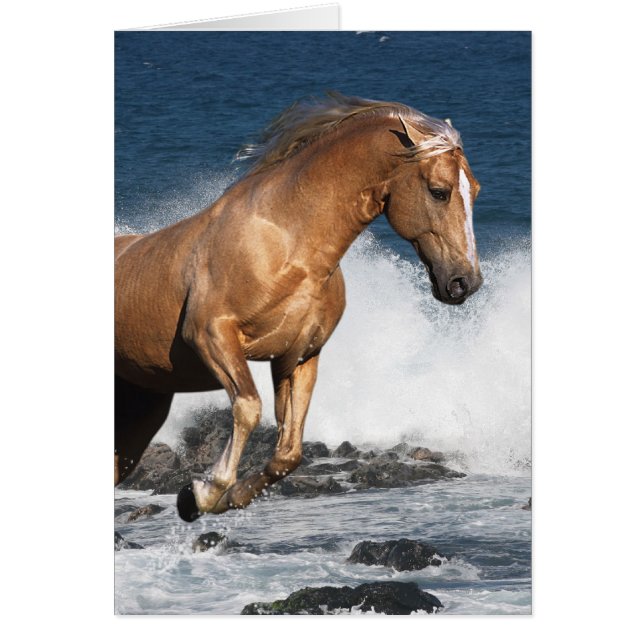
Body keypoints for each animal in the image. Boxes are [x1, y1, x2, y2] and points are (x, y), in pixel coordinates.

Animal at [115, 92, 483, 522]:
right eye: (440, 191)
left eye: (475, 190)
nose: (465, 282)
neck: (287, 245)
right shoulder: (210, 334)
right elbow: (248, 406)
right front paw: (203, 493)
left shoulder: (299, 355)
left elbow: (288, 453)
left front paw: (231, 495)